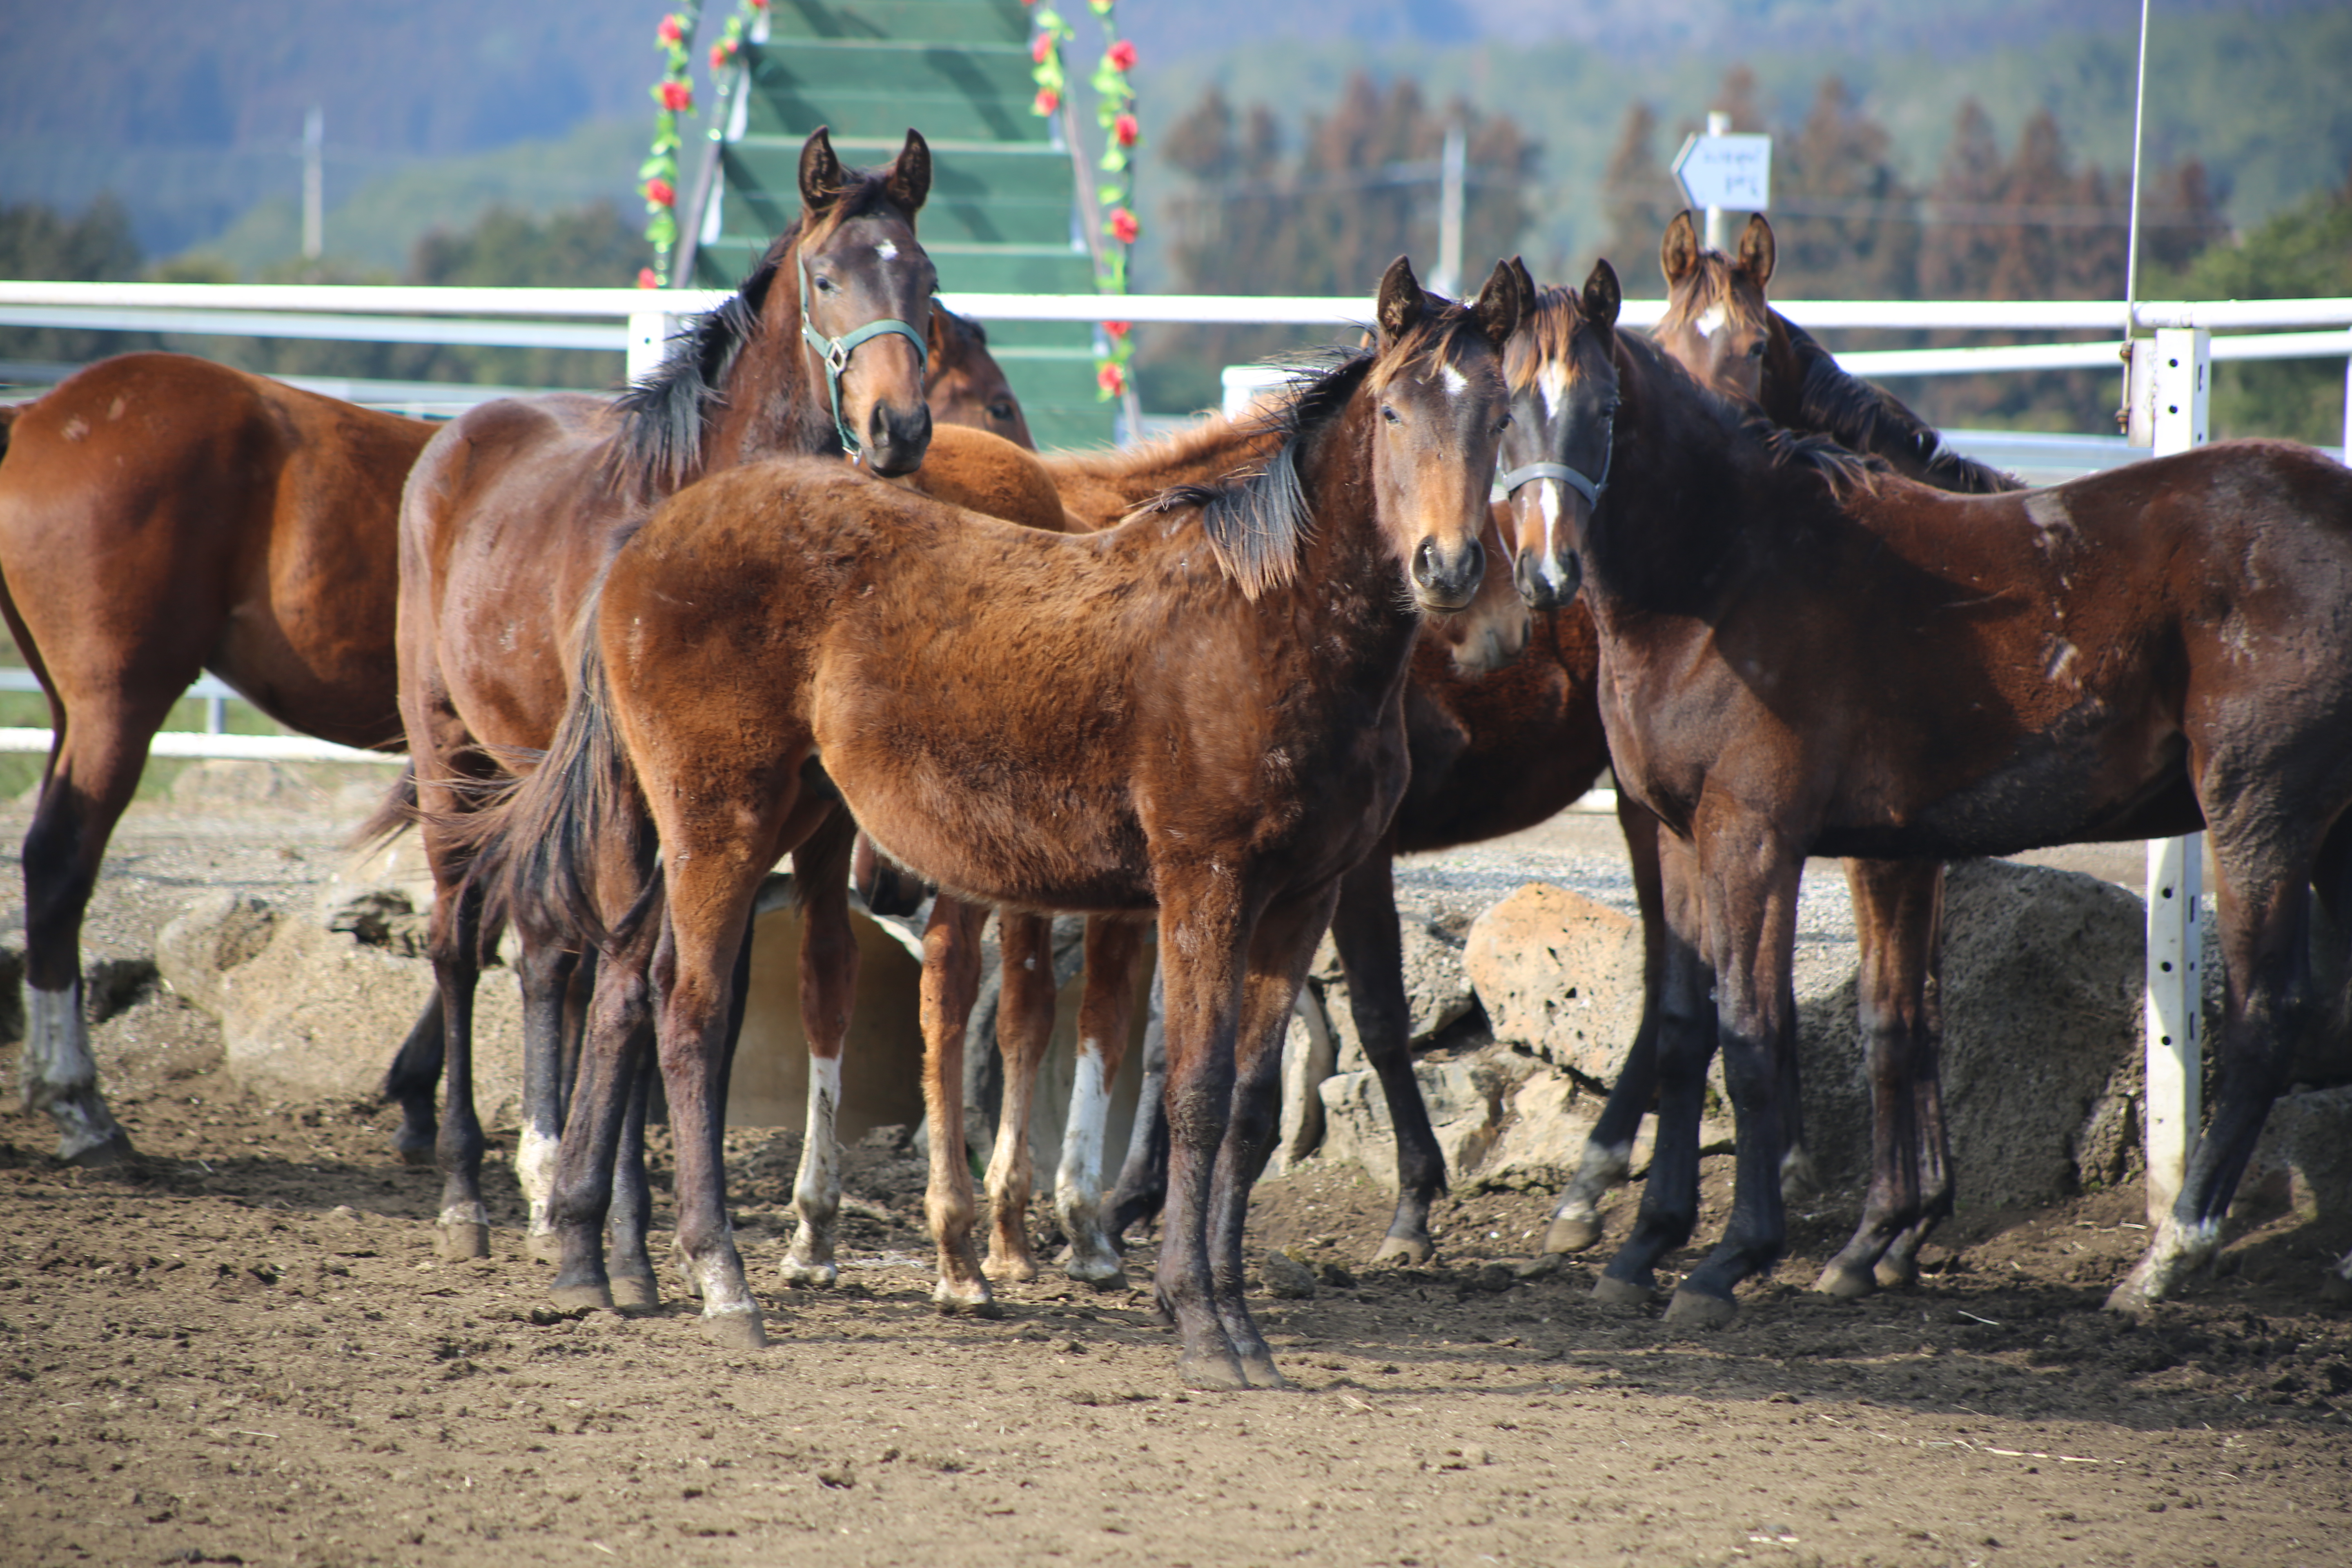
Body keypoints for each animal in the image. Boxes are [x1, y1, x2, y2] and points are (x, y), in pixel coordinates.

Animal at [461, 261, 1524, 1382]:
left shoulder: (1300, 899)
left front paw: (1241, 1326)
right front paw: (1196, 1318)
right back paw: (722, 1281)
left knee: (624, 990)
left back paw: (596, 1260)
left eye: (1500, 415)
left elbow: (1248, 1109)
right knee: (689, 1011)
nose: (1447, 568)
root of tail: (646, 538)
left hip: (745, 816)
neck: (1262, 621)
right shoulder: (1205, 885)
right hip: (723, 824)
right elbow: (1191, 1093)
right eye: (1396, 410)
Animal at [1496, 257, 2352, 1326]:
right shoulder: (1686, 835)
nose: (1546, 570)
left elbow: (1757, 1031)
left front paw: (1731, 1256)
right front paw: (1645, 1244)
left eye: (1605, 407)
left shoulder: (1757, 836)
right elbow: (1693, 1029)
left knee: (2264, 1014)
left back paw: (2165, 1259)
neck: (1726, 570)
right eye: (1505, 403)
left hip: (2259, 810)